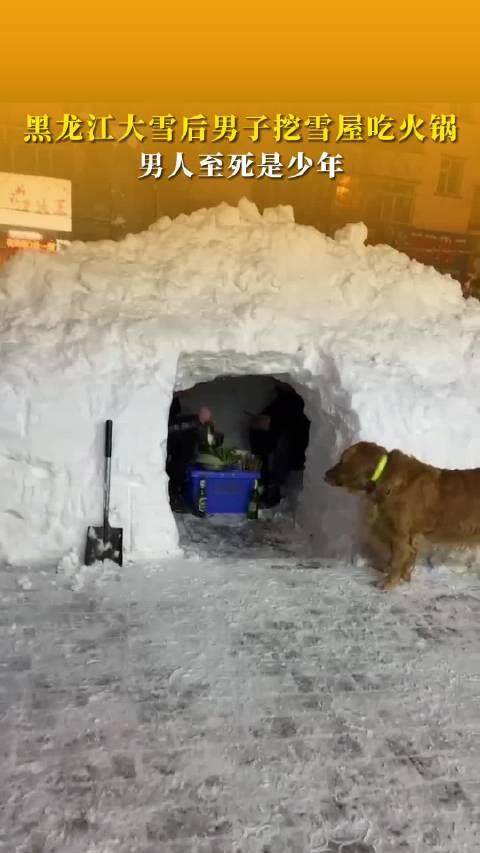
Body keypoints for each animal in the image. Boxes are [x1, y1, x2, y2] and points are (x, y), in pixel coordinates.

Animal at [324, 442, 480, 588]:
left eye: (342, 460)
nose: (325, 474)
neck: (384, 477)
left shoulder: (401, 535)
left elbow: (397, 561)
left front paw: (388, 582)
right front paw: (403, 577)